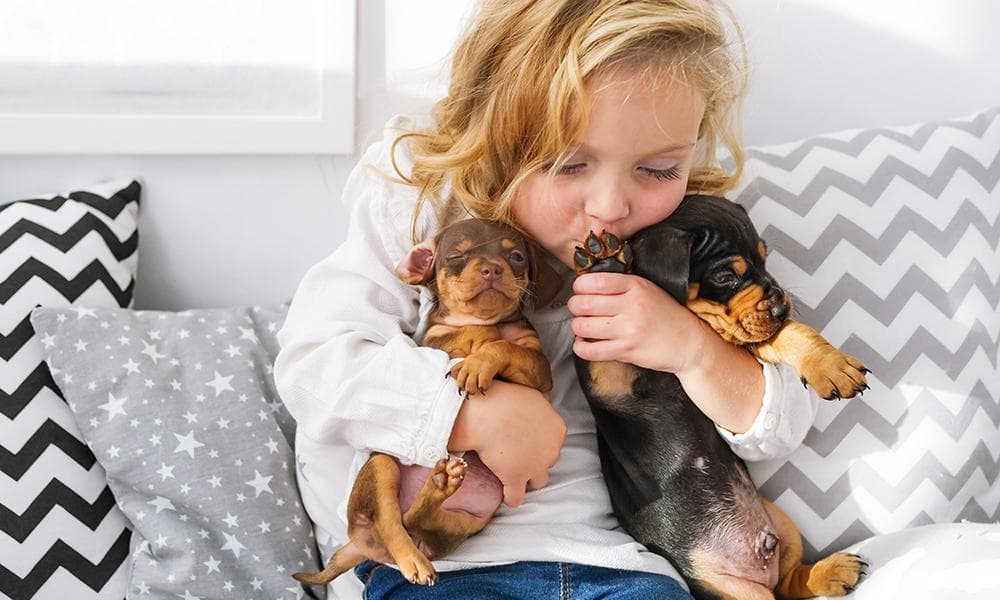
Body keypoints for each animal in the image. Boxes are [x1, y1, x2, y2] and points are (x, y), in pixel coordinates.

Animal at [292, 219, 560, 584]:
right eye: (457, 256)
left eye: (516, 256)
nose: (492, 268)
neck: (481, 320)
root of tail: (361, 546)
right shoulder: (438, 344)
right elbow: (469, 338)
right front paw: (474, 348)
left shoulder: (537, 368)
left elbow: (503, 346)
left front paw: (478, 363)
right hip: (382, 467)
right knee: (392, 524)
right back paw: (414, 557)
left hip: (464, 523)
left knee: (416, 520)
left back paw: (441, 485)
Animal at [576, 196, 872, 600]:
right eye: (725, 277)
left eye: (764, 259)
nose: (781, 307)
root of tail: (760, 561)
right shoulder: (608, 379)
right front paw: (601, 263)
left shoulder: (746, 336)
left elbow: (787, 335)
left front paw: (827, 363)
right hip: (730, 586)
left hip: (784, 528)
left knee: (789, 580)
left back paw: (830, 571)